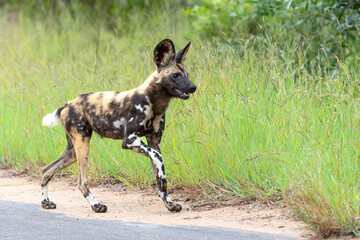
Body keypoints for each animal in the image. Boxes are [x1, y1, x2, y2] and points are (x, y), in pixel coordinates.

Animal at [41, 39, 197, 214]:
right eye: (175, 75)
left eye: (187, 75)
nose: (193, 87)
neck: (154, 102)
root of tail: (69, 103)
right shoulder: (129, 140)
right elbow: (159, 159)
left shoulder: (154, 142)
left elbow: (160, 176)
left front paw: (169, 203)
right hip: (83, 145)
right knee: (81, 183)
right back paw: (96, 205)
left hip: (73, 151)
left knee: (46, 170)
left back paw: (46, 202)